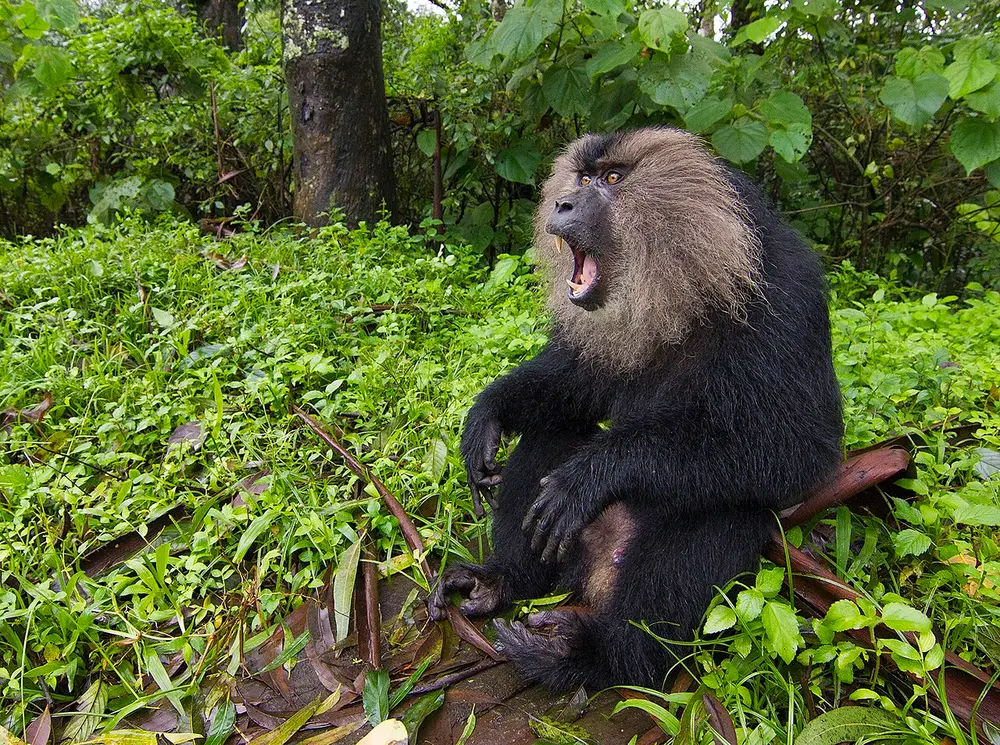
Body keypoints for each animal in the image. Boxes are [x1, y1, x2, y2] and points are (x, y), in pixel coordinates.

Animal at [428, 127, 844, 691]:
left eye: (611, 178)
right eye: (583, 179)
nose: (563, 203)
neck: (693, 283)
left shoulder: (788, 302)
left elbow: (800, 451)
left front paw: (592, 475)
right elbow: (578, 383)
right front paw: (488, 416)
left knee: (722, 505)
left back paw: (600, 657)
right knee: (555, 428)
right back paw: (503, 581)